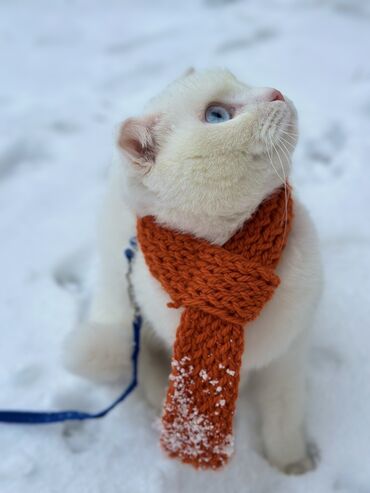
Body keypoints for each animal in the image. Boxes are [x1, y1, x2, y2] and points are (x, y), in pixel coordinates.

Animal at [62, 68, 320, 472]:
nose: (276, 92)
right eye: (217, 115)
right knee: (139, 367)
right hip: (121, 310)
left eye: (243, 81)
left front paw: (291, 465)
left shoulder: (288, 358)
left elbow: (284, 417)